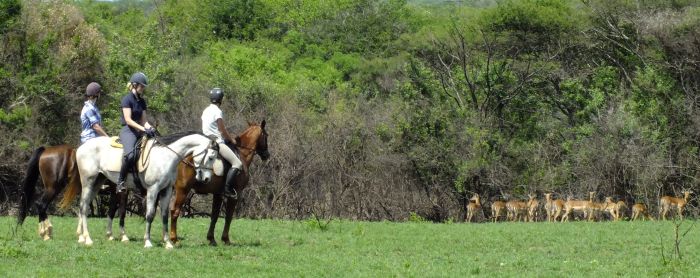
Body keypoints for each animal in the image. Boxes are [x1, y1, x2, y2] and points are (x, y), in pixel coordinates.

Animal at [66, 131, 220, 249]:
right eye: (211, 157)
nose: (207, 179)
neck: (166, 158)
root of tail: (81, 147)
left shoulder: (166, 190)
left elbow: (165, 216)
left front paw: (168, 243)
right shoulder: (153, 189)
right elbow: (150, 214)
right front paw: (147, 242)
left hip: (98, 181)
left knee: (84, 206)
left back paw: (82, 237)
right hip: (88, 181)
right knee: (83, 207)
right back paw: (87, 238)